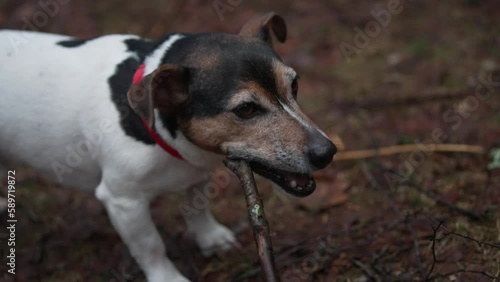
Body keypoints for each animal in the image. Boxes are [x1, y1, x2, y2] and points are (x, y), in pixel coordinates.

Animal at [0, 12, 336, 280]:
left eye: (294, 85)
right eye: (245, 109)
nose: (328, 152)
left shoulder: (197, 171)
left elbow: (197, 206)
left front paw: (210, 238)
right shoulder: (123, 201)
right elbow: (151, 247)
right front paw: (168, 277)